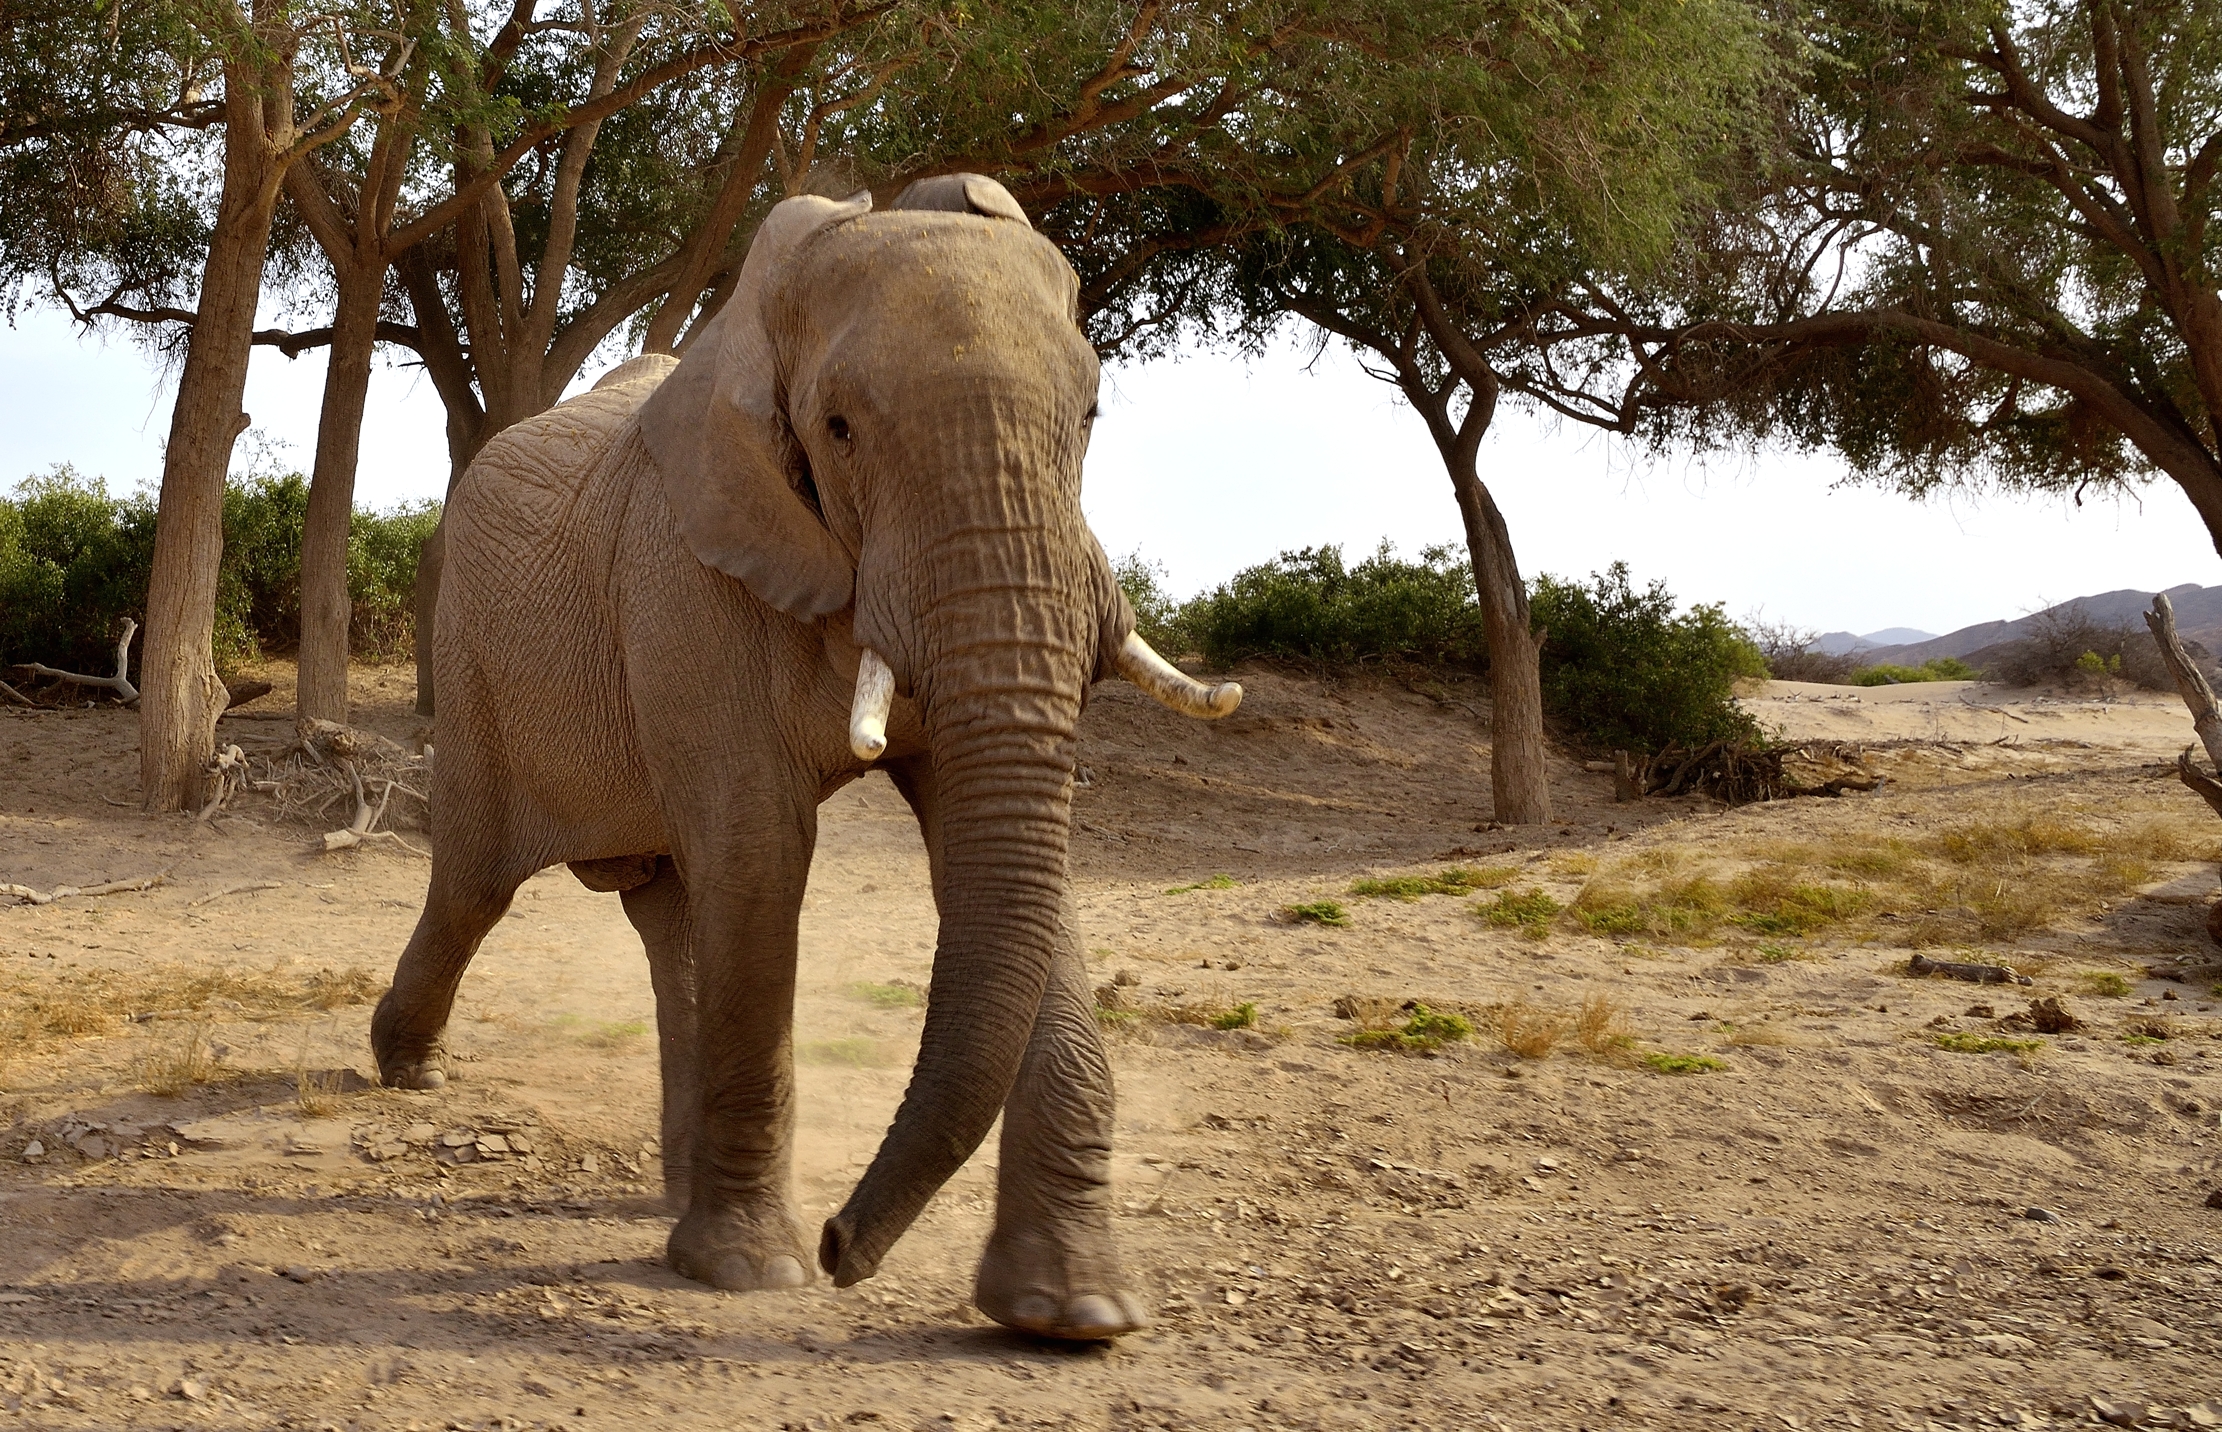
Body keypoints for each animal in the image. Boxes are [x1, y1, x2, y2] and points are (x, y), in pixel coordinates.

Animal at [368, 174, 1242, 1341]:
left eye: (1093, 415)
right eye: (839, 428)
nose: (842, 1247)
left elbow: (993, 853)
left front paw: (1075, 1314)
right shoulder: (688, 568)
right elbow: (759, 848)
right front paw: (751, 1274)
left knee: (666, 914)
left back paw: (666, 1192)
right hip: (466, 653)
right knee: (475, 884)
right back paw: (411, 1072)